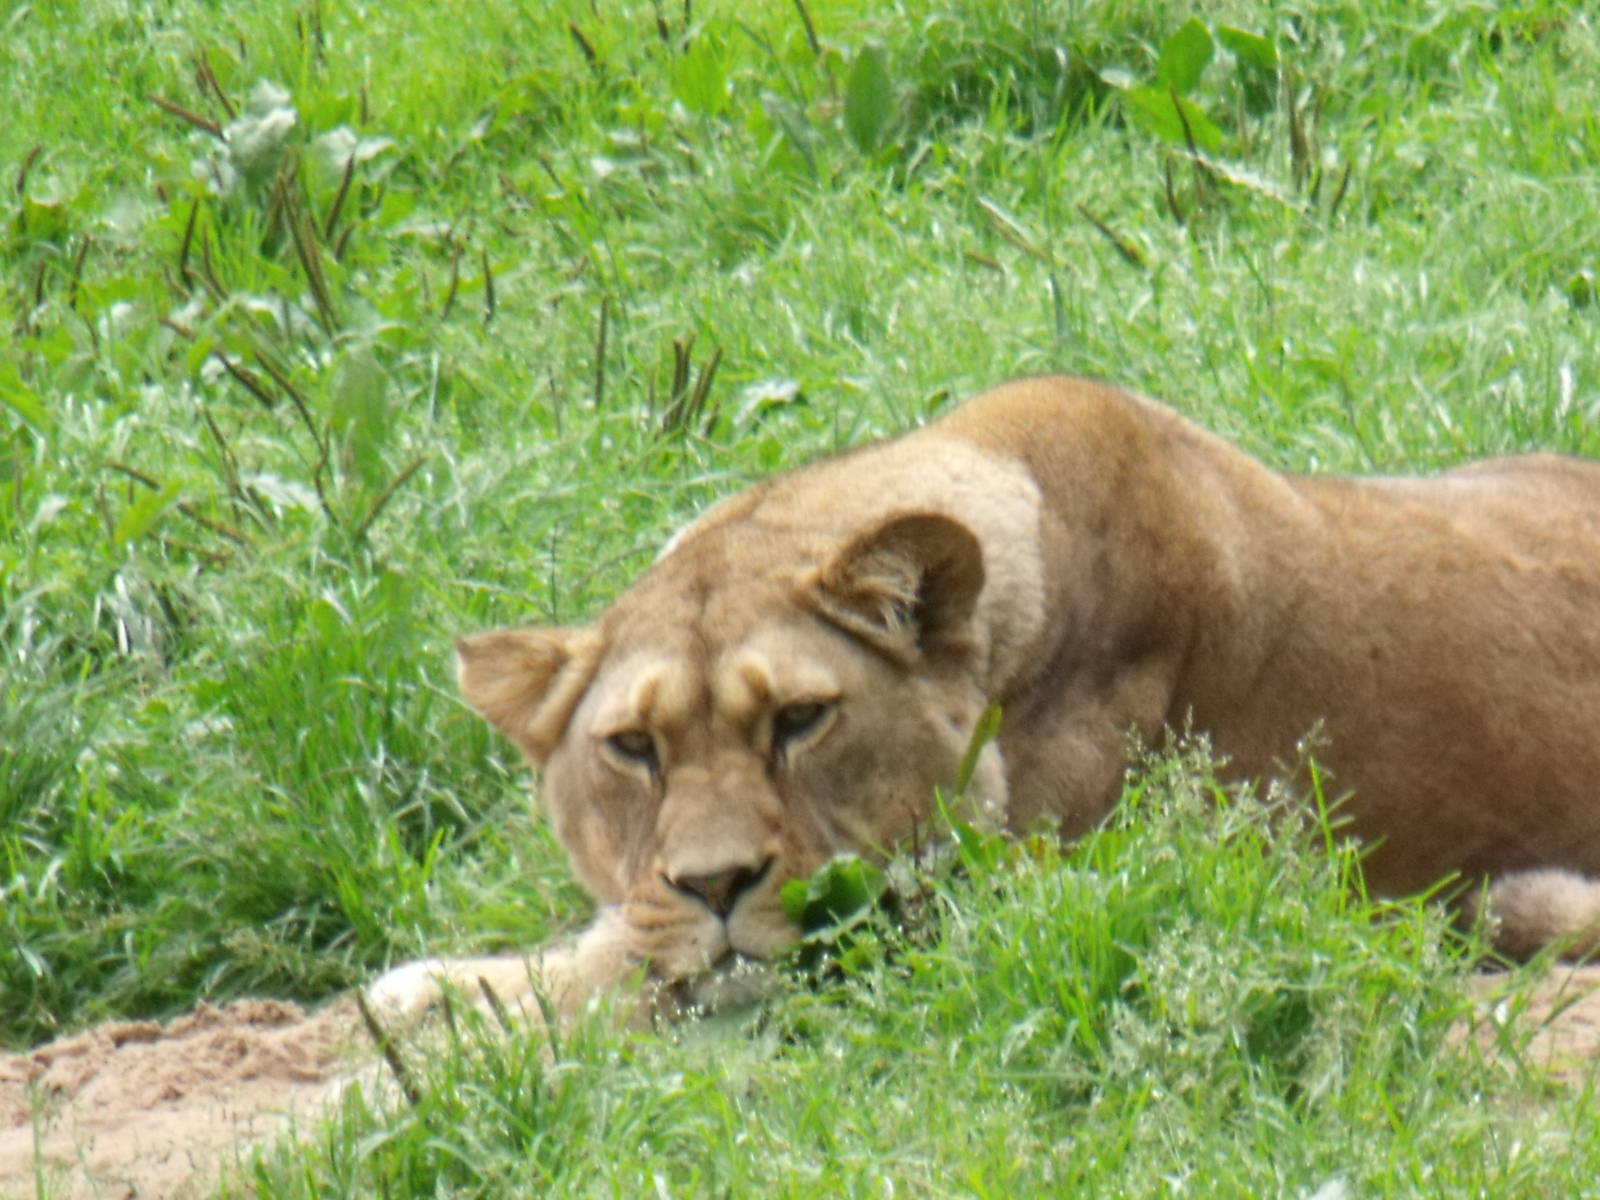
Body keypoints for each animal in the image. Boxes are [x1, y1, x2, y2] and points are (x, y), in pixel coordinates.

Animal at [369, 374, 1600, 1026]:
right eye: (633, 747)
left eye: (800, 720)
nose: (715, 884)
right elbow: (617, 936)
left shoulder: (965, 920)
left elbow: (619, 974)